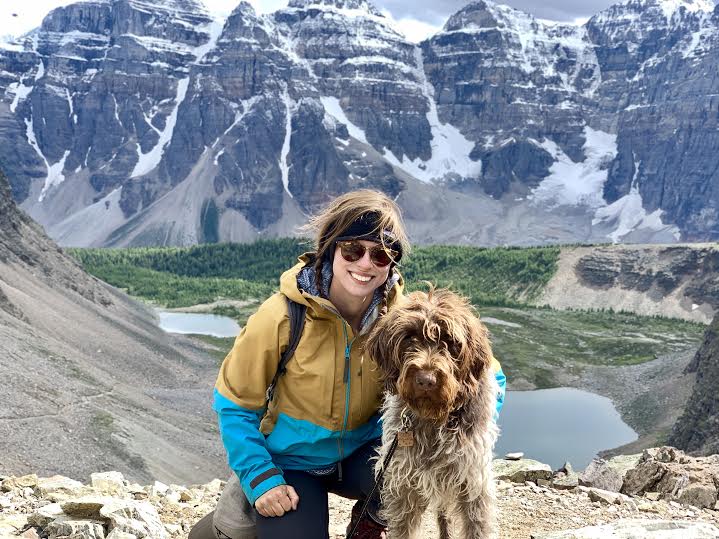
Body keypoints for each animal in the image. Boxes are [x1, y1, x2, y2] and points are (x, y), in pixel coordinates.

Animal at [366, 288, 500, 539]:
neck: (433, 418)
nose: (426, 380)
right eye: (409, 337)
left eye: (450, 341)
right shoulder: (403, 484)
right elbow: (403, 528)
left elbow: (476, 526)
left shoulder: (473, 483)